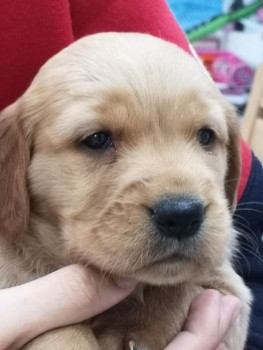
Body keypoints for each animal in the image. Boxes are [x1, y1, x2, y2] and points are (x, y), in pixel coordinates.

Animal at [0, 32, 252, 350]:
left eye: (206, 136)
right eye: (96, 139)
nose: (182, 215)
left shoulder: (231, 287)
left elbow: (187, 283)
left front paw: (140, 324)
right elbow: (60, 330)